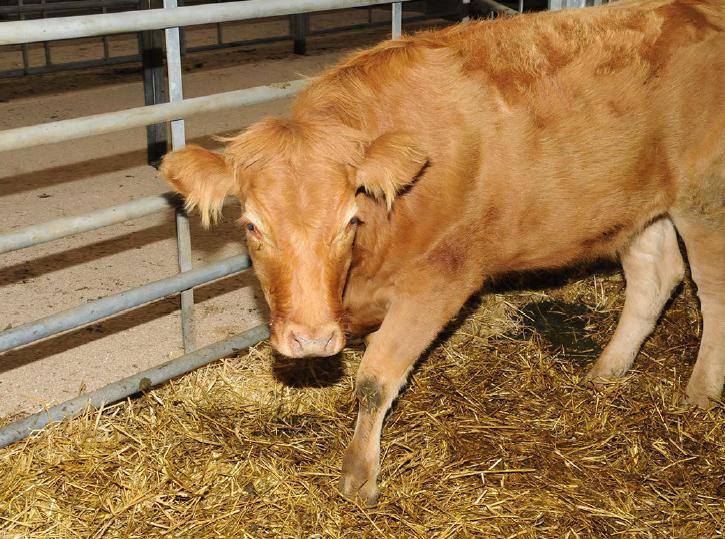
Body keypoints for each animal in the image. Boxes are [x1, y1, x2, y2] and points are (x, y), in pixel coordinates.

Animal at [161, 0, 720, 506]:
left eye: (349, 220)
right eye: (252, 225)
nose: (312, 339)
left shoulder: (442, 278)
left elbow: (375, 379)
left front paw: (359, 477)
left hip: (705, 201)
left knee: (713, 297)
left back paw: (699, 395)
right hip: (639, 205)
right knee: (654, 277)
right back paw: (606, 371)